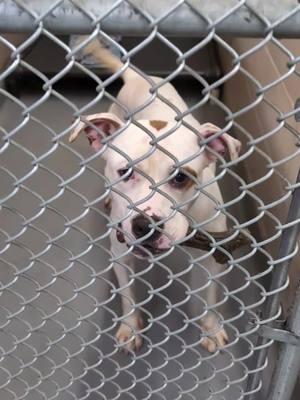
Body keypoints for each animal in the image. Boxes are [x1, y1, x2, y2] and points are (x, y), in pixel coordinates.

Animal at [69, 38, 241, 354]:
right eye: (125, 172)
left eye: (181, 178)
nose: (145, 225)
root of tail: (139, 78)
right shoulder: (120, 254)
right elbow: (127, 295)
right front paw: (129, 327)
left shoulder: (214, 255)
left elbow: (211, 297)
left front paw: (211, 329)